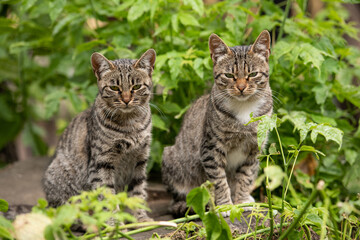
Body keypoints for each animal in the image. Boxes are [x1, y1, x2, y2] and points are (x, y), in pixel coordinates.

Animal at [43, 49, 155, 221]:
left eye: (136, 86)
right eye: (114, 87)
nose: (127, 100)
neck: (130, 124)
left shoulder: (140, 160)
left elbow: (138, 192)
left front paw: (141, 219)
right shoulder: (101, 163)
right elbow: (107, 195)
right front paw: (112, 222)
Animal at [162, 30, 272, 216]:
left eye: (252, 74)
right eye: (229, 75)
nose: (241, 87)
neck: (244, 108)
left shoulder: (254, 148)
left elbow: (245, 177)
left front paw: (242, 201)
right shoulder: (211, 148)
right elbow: (220, 180)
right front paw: (226, 205)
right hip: (172, 160)